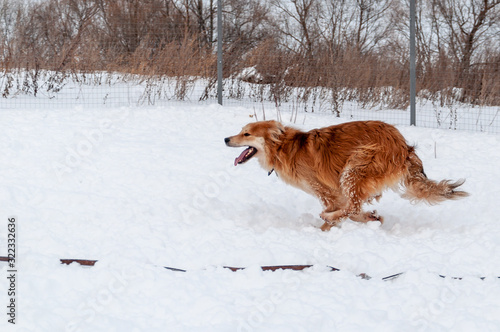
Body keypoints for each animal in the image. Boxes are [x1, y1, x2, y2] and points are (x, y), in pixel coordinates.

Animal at [227, 120, 468, 231]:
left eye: (246, 134)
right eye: (241, 131)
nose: (226, 139)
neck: (282, 148)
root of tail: (404, 147)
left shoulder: (326, 191)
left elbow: (344, 210)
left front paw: (324, 229)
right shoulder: (337, 193)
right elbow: (353, 211)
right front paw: (371, 218)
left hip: (355, 167)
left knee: (351, 205)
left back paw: (330, 218)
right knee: (353, 205)